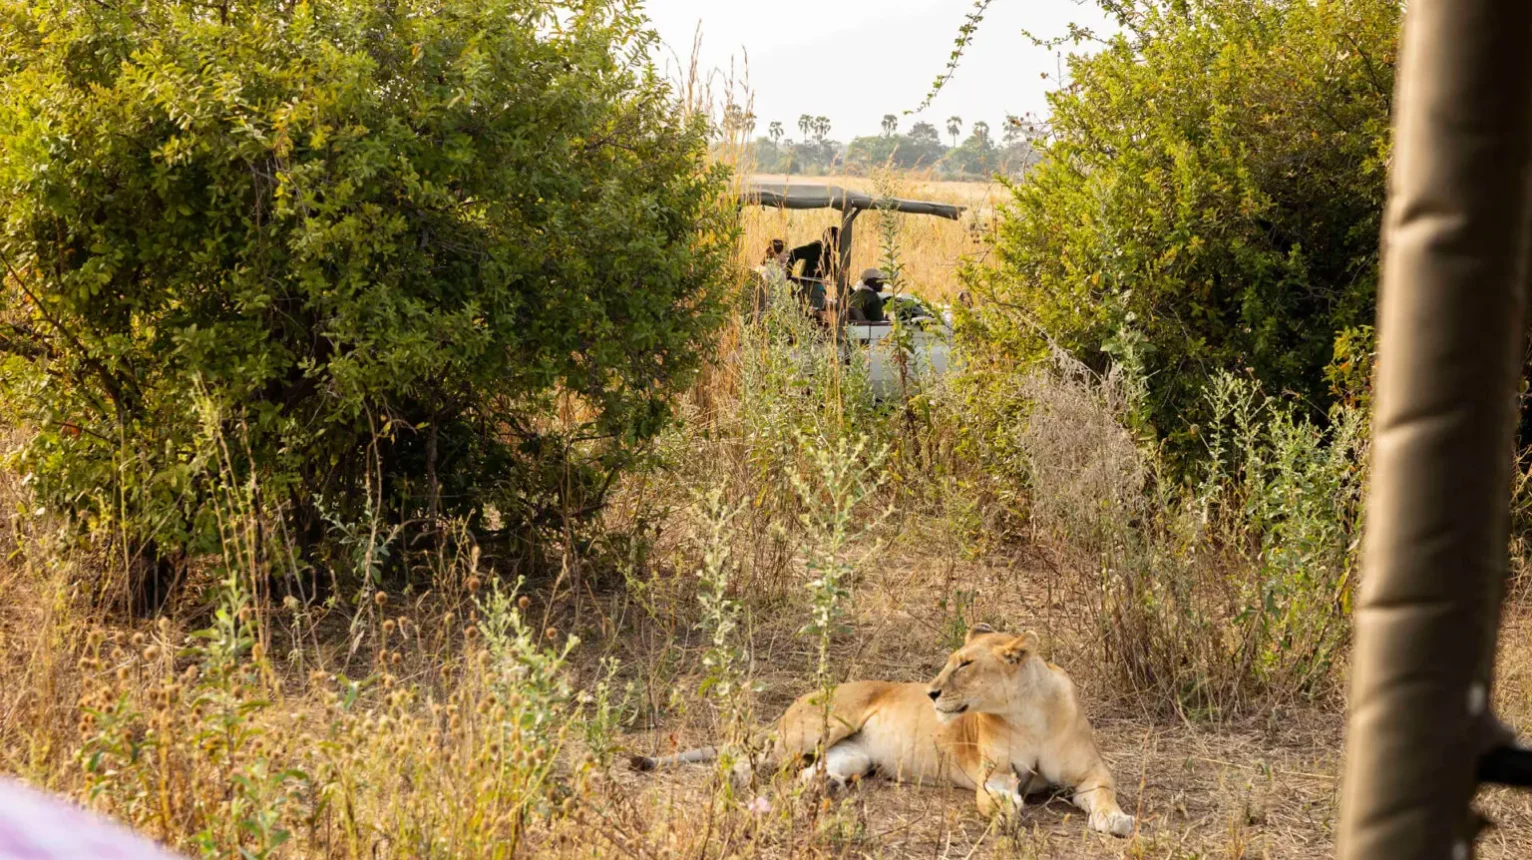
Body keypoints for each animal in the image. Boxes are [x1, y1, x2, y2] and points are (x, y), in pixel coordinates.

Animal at [631, 624, 1137, 837]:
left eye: (966, 664)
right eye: (950, 661)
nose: (931, 693)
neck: (1026, 712)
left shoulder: (1092, 775)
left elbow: (1106, 796)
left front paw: (1115, 821)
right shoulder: (993, 775)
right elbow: (995, 798)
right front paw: (1007, 816)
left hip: (855, 754)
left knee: (809, 774)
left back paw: (826, 789)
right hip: (814, 729)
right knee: (743, 756)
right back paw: (730, 780)